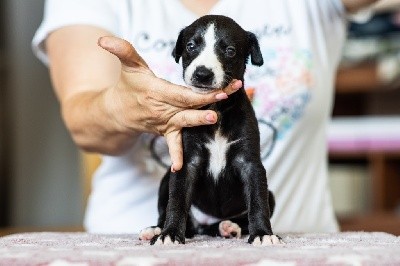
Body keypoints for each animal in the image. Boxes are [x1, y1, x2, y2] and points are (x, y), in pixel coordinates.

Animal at [141, 15, 282, 245]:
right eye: (190, 46)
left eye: (230, 51)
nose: (202, 73)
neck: (215, 110)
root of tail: (202, 226)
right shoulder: (185, 163)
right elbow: (176, 201)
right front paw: (169, 234)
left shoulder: (250, 164)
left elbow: (258, 201)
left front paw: (263, 234)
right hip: (166, 179)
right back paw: (156, 229)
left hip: (270, 195)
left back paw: (229, 227)